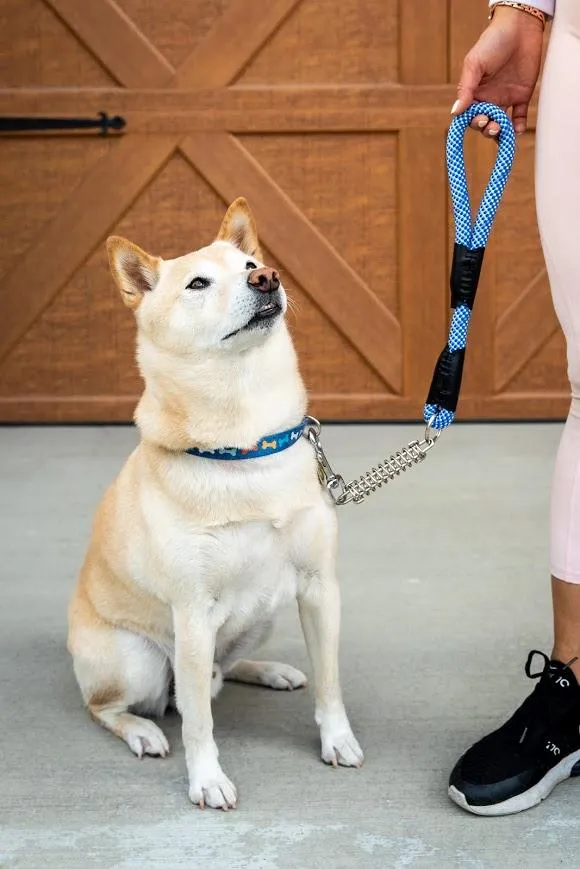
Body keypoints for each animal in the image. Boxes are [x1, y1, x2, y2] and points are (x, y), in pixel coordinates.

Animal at [68, 197, 362, 808]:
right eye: (198, 283)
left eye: (251, 263)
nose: (267, 277)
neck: (247, 443)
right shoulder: (193, 613)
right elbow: (199, 721)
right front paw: (207, 779)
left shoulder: (320, 589)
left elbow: (330, 683)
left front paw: (337, 740)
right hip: (139, 661)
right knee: (117, 705)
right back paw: (142, 730)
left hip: (260, 618)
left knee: (218, 675)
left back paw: (267, 670)